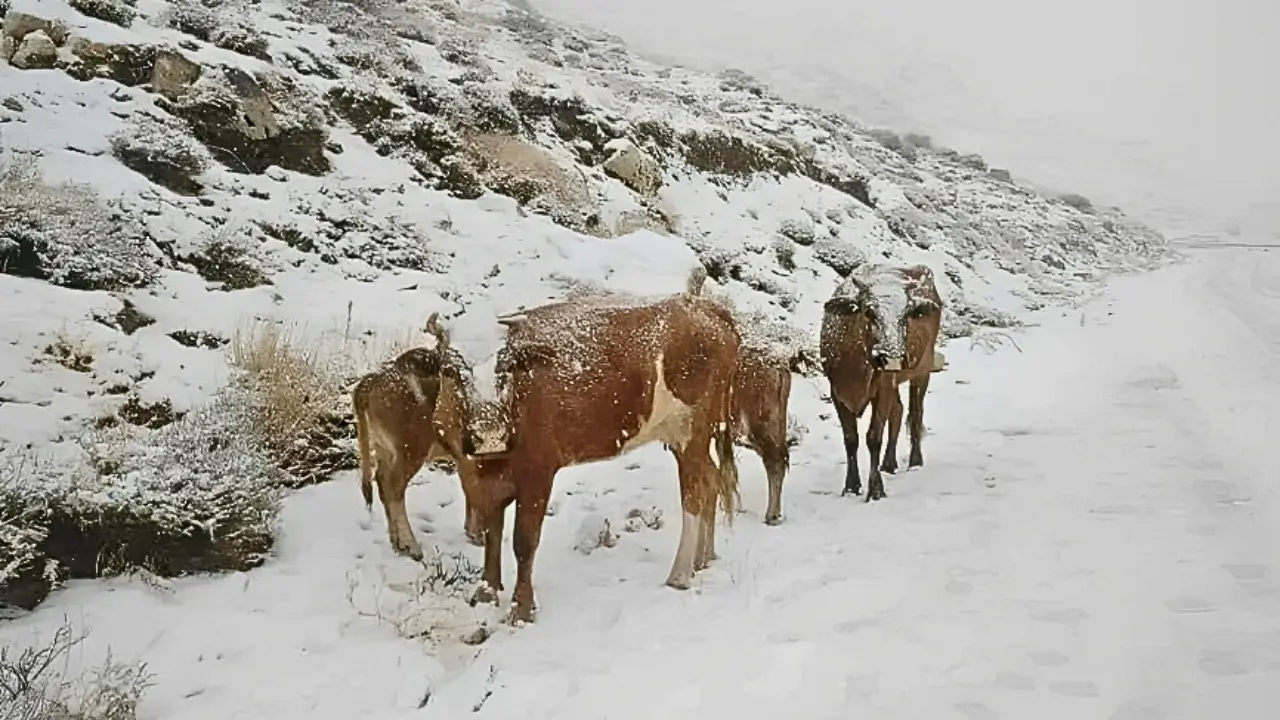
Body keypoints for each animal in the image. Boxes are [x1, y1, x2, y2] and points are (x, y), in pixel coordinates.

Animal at [350, 311, 483, 558]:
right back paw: (410, 545)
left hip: (385, 448)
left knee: (381, 482)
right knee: (393, 488)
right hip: (410, 450)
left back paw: (396, 542)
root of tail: (372, 382)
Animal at [463, 285, 742, 622]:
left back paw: (679, 575)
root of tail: (704, 305)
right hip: (684, 435)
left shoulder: (538, 471)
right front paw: (486, 592)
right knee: (711, 479)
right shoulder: (491, 479)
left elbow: (523, 541)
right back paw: (703, 559)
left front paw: (521, 609)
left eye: (505, 373)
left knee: (695, 492)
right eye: (457, 377)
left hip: (692, 427)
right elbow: (492, 534)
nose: (489, 432)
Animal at [819, 262, 942, 499]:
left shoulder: (882, 387)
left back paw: (915, 461)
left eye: (907, 313)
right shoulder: (837, 392)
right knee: (898, 411)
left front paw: (875, 489)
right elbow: (851, 439)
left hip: (922, 371)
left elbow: (873, 437)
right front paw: (851, 486)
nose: (891, 355)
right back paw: (889, 463)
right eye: (869, 311)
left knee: (915, 412)